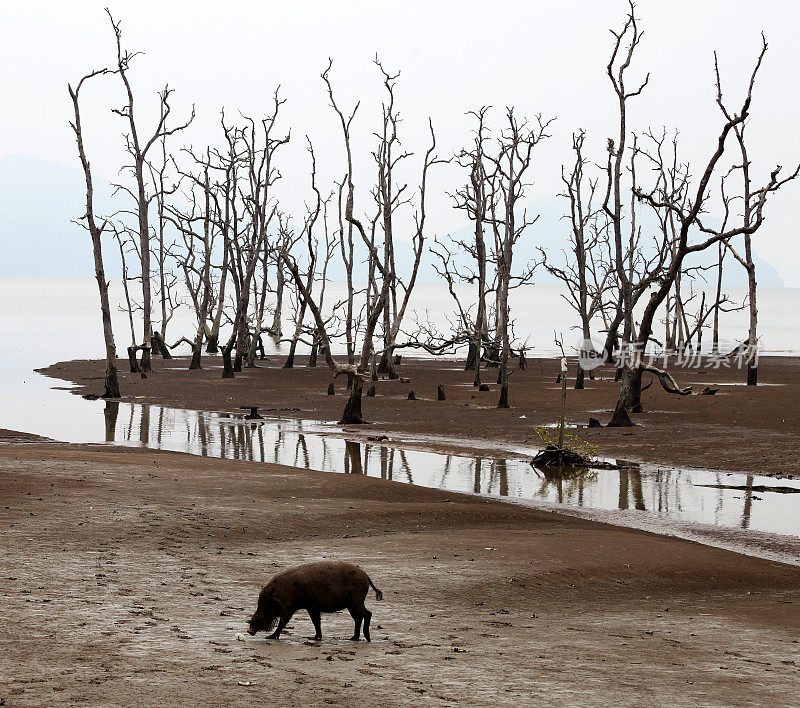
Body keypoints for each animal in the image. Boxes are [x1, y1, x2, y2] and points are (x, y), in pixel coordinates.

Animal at [247, 564, 384, 640]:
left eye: (266, 603)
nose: (249, 631)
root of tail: (366, 576)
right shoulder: (296, 608)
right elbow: (312, 622)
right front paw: (316, 637)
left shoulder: (310, 605)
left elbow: (311, 621)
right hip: (352, 604)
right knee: (358, 618)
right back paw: (353, 638)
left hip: (356, 601)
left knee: (368, 614)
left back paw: (366, 638)